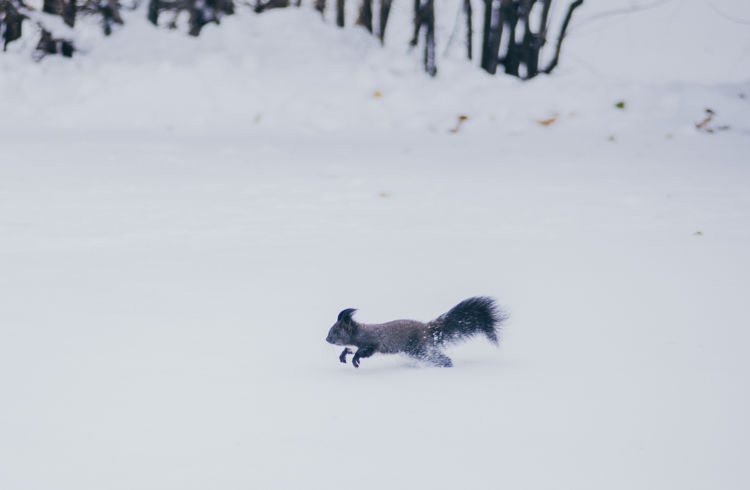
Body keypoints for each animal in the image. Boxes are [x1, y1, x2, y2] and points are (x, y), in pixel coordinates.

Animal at [324, 294, 506, 368]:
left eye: (337, 332)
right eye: (331, 330)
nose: (326, 339)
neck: (358, 334)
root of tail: (427, 329)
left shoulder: (373, 343)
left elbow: (363, 352)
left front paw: (355, 360)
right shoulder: (353, 345)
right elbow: (348, 349)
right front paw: (343, 357)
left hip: (418, 349)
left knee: (440, 358)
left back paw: (447, 365)